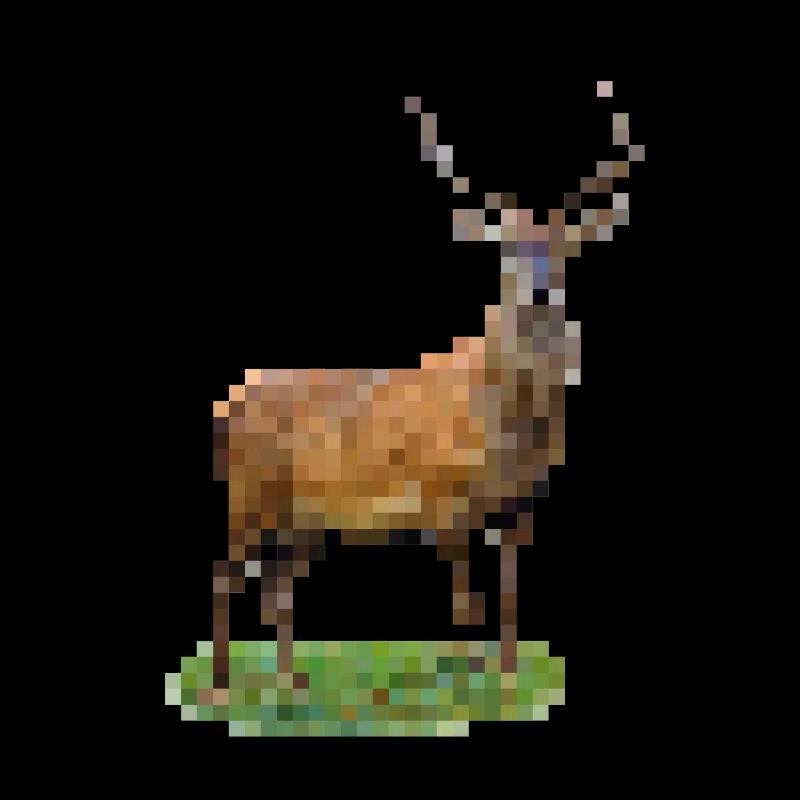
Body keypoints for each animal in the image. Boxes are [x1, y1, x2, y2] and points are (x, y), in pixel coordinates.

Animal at [210, 82, 643, 689]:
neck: (510, 428)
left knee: (277, 590)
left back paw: (290, 686)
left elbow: (510, 597)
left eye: (565, 249)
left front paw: (509, 679)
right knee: (224, 574)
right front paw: (464, 686)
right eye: (506, 249)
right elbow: (466, 604)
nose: (538, 292)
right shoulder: (441, 494)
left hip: (303, 515)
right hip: (248, 492)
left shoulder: (522, 503)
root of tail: (224, 407)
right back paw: (222, 687)